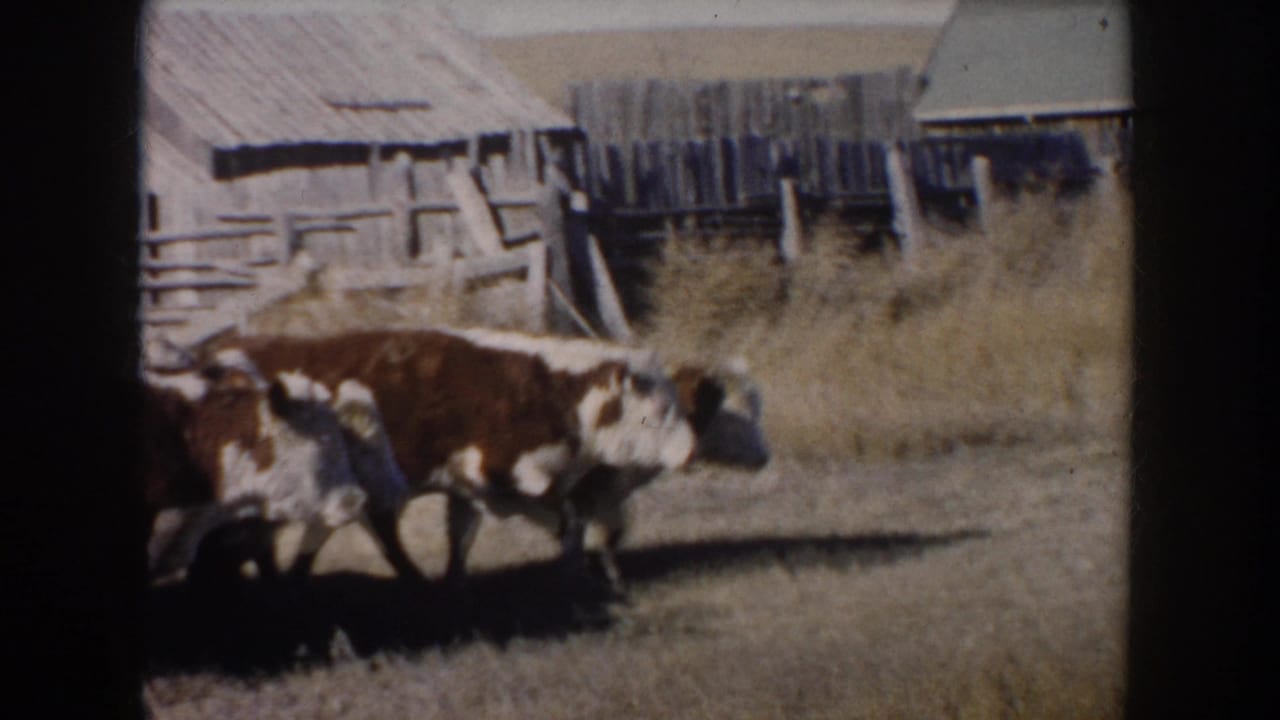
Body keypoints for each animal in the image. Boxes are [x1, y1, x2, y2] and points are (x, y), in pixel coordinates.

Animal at [201, 328, 698, 588]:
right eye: (659, 410)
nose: (691, 450)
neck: (542, 389)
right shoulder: (500, 477)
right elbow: (570, 518)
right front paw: (581, 571)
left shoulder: (469, 489)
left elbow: (462, 535)